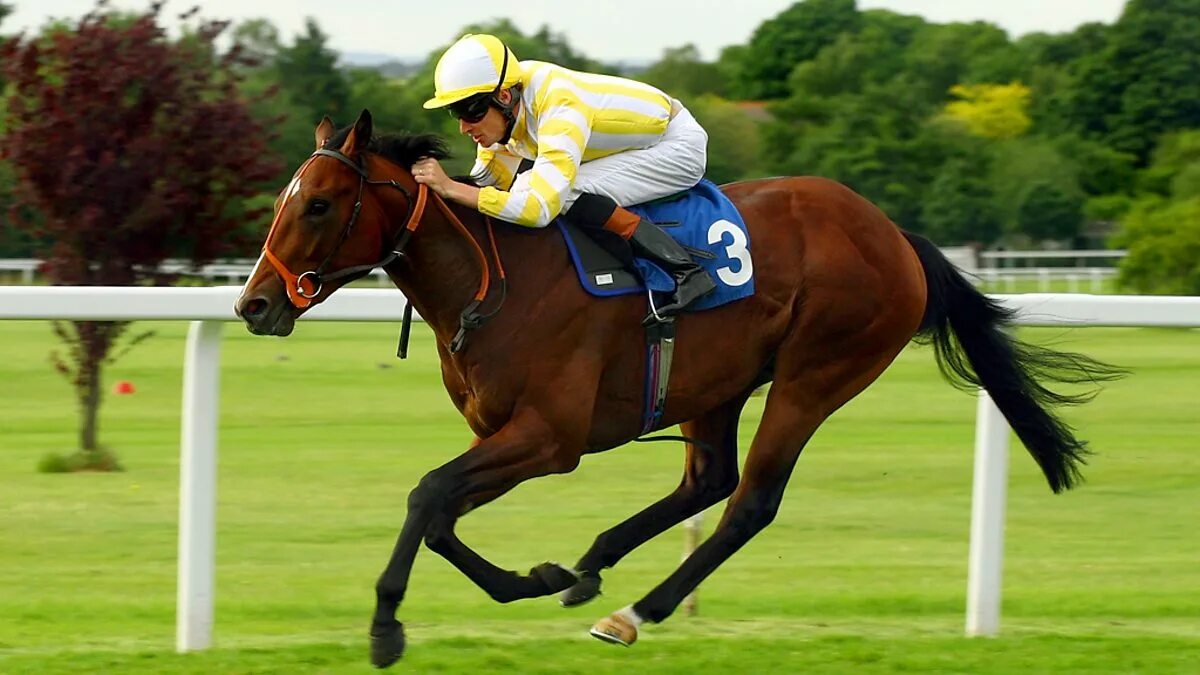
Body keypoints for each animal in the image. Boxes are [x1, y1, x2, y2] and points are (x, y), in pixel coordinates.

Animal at [236, 110, 1123, 667]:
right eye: (285, 199)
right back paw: (593, 566)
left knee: (750, 500)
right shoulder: (504, 434)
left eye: (320, 204)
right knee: (709, 478)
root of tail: (894, 233)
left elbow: (426, 495)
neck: (492, 277)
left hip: (815, 372)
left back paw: (633, 611)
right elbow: (443, 515)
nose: (254, 305)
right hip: (715, 382)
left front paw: (386, 624)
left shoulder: (549, 437)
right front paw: (537, 576)